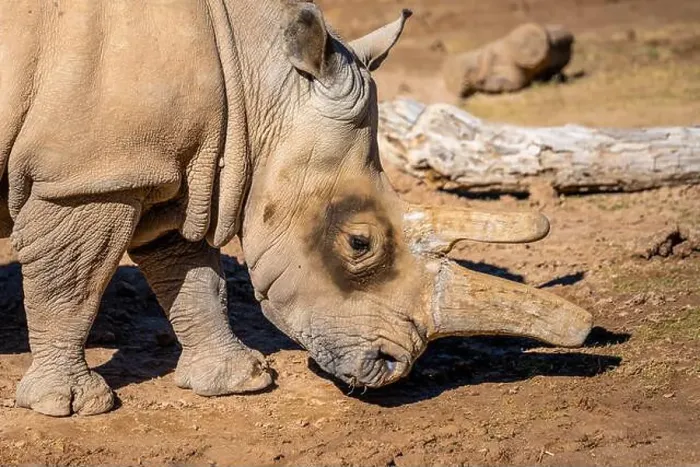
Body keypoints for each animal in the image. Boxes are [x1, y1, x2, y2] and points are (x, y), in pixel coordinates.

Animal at [0, 0, 592, 417]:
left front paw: (240, 382)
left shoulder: (166, 166)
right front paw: (71, 407)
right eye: (359, 243)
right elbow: (72, 284)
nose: (391, 368)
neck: (251, 75)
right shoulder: (88, 177)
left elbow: (192, 275)